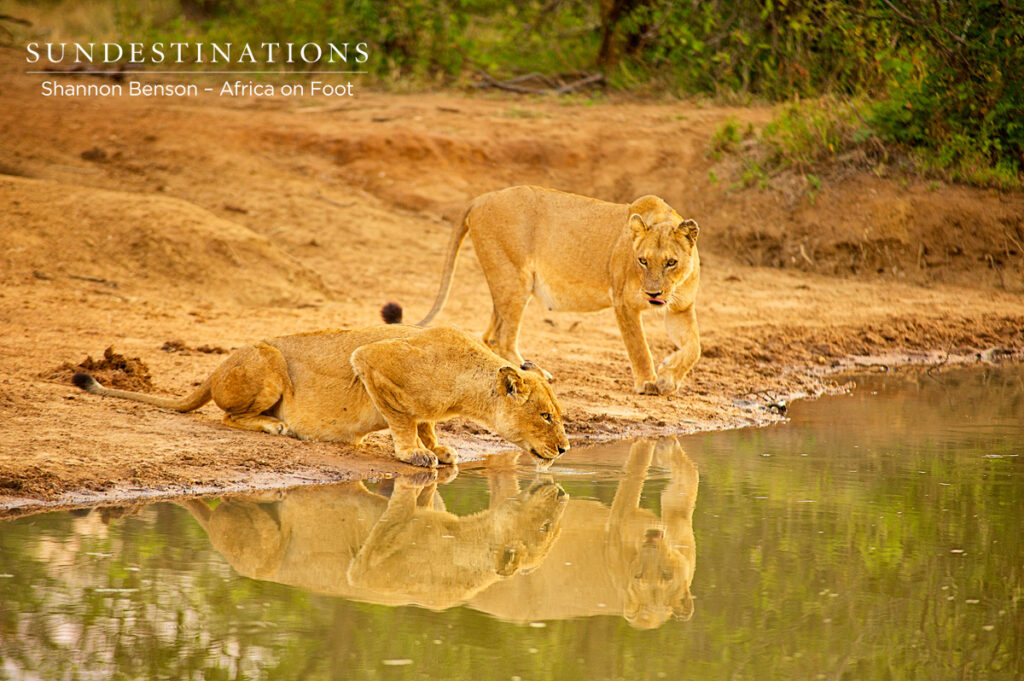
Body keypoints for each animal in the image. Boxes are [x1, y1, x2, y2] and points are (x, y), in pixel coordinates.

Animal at [71, 322, 569, 468]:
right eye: (546, 416)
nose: (566, 449)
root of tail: (215, 369)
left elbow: (424, 421)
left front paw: (440, 448)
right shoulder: (371, 360)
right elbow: (404, 419)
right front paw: (413, 453)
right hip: (269, 364)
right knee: (228, 417)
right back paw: (276, 425)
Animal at [416, 185, 701, 395]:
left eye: (671, 262)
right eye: (642, 260)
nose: (653, 294)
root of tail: (481, 197)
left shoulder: (681, 308)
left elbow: (694, 347)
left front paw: (668, 377)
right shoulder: (623, 303)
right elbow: (639, 347)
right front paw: (649, 383)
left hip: (505, 283)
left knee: (490, 336)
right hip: (515, 278)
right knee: (503, 338)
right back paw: (534, 372)